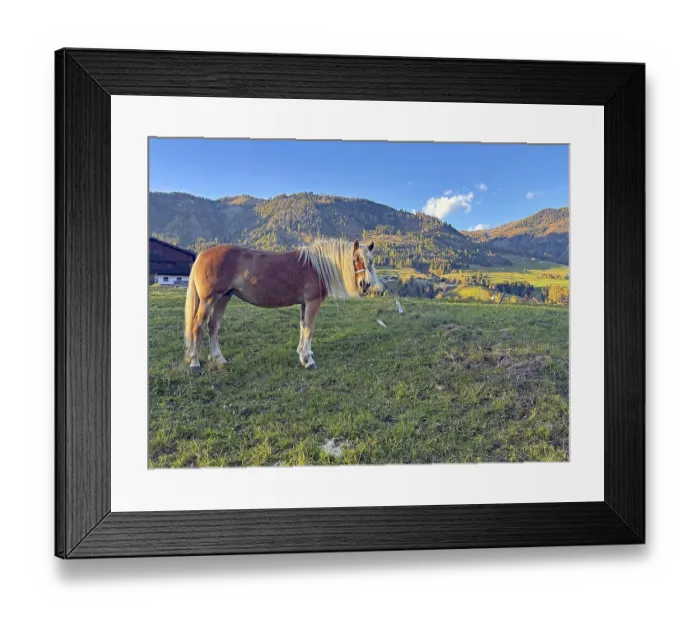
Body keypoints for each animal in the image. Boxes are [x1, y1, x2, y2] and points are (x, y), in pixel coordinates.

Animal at [183, 238, 382, 370]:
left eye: (371, 261)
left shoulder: (304, 304)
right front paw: (308, 361)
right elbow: (309, 329)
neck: (316, 266)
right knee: (197, 326)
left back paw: (218, 359)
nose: (365, 285)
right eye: (356, 259)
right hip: (209, 300)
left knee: (213, 326)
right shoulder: (313, 302)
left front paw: (302, 353)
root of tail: (202, 255)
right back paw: (194, 362)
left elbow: (303, 327)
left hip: (223, 297)